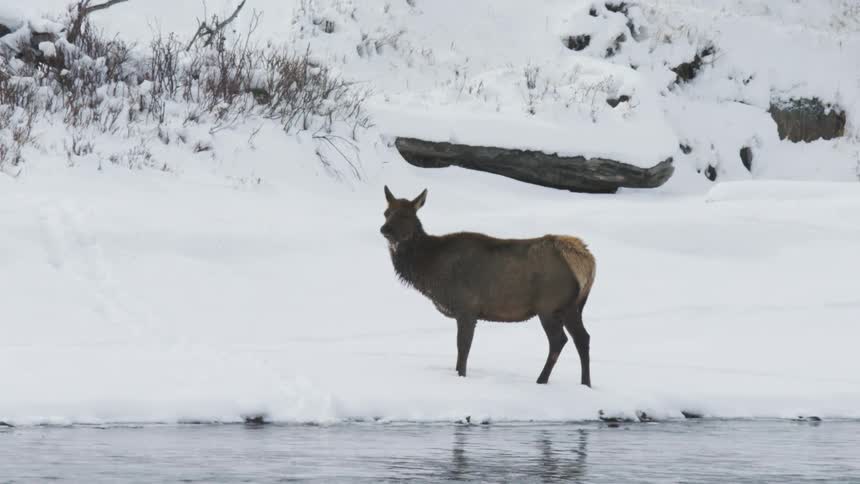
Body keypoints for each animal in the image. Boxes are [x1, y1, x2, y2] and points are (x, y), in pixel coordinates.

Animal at [380, 186, 596, 386]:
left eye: (406, 214)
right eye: (386, 212)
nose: (385, 229)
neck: (432, 272)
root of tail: (588, 260)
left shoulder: (467, 307)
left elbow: (463, 348)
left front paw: (461, 375)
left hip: (550, 305)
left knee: (560, 340)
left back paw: (543, 380)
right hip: (572, 306)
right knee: (582, 338)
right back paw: (585, 383)